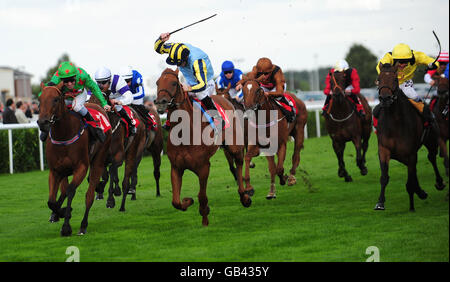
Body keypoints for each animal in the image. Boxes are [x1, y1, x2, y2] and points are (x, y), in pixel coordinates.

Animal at [39, 82, 112, 236]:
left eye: (56, 99)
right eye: (40, 100)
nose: (43, 122)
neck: (64, 134)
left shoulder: (81, 167)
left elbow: (71, 190)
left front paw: (66, 226)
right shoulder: (55, 171)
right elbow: (51, 200)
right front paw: (59, 212)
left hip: (98, 160)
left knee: (89, 195)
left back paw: (83, 225)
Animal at [155, 67, 251, 226]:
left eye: (174, 83)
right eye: (157, 82)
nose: (160, 103)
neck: (185, 133)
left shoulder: (204, 167)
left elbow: (202, 196)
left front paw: (205, 216)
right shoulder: (176, 167)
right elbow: (176, 202)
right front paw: (188, 201)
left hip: (234, 146)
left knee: (239, 164)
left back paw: (245, 195)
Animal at [372, 62, 446, 212]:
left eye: (395, 79)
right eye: (378, 79)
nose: (385, 99)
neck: (394, 122)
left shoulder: (410, 152)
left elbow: (410, 180)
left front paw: (413, 203)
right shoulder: (384, 149)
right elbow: (384, 176)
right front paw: (380, 202)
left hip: (431, 141)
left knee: (431, 158)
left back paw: (439, 182)